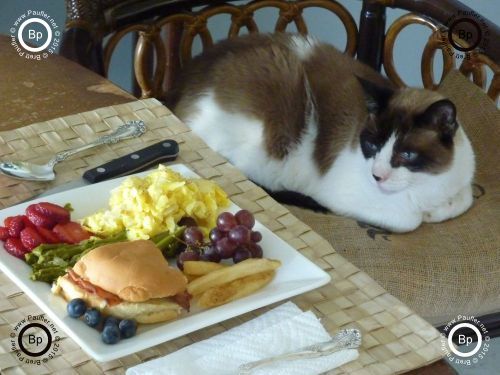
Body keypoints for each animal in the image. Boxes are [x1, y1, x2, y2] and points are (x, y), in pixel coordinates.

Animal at [167, 33, 472, 232]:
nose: (377, 175)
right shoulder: (340, 196)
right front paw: (424, 214)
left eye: (407, 154)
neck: (425, 189)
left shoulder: (460, 189)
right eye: (372, 146)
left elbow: (460, 202)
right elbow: (410, 220)